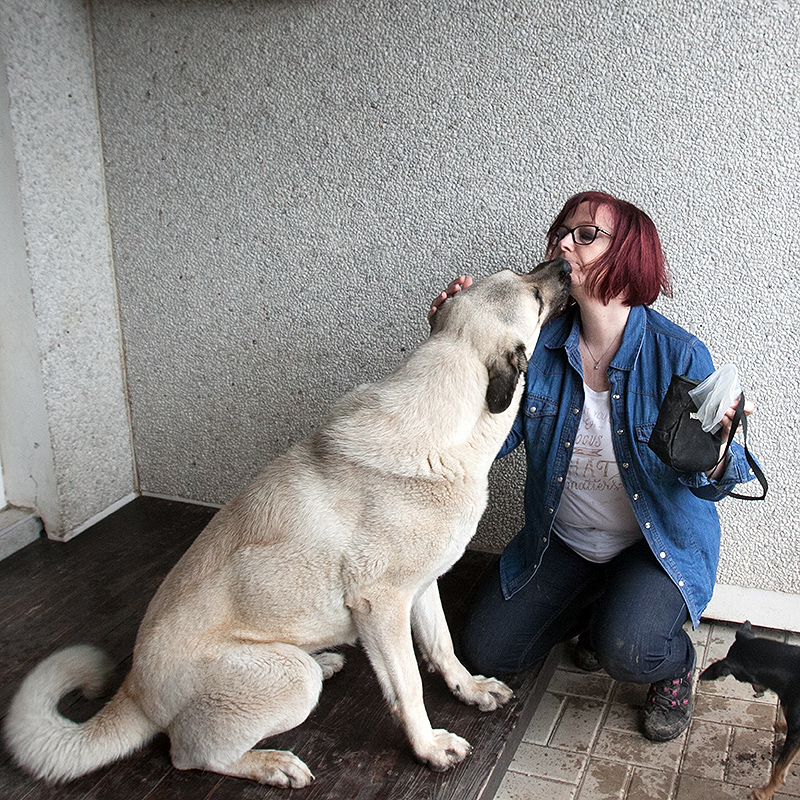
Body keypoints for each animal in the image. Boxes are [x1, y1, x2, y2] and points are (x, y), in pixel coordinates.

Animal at [4, 259, 572, 788]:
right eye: (535, 295)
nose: (565, 264)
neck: (444, 419)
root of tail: (134, 691)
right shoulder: (382, 606)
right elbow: (408, 684)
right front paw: (428, 746)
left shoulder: (419, 588)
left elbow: (442, 646)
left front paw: (469, 689)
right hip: (285, 680)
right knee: (189, 752)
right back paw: (270, 763)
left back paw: (324, 663)